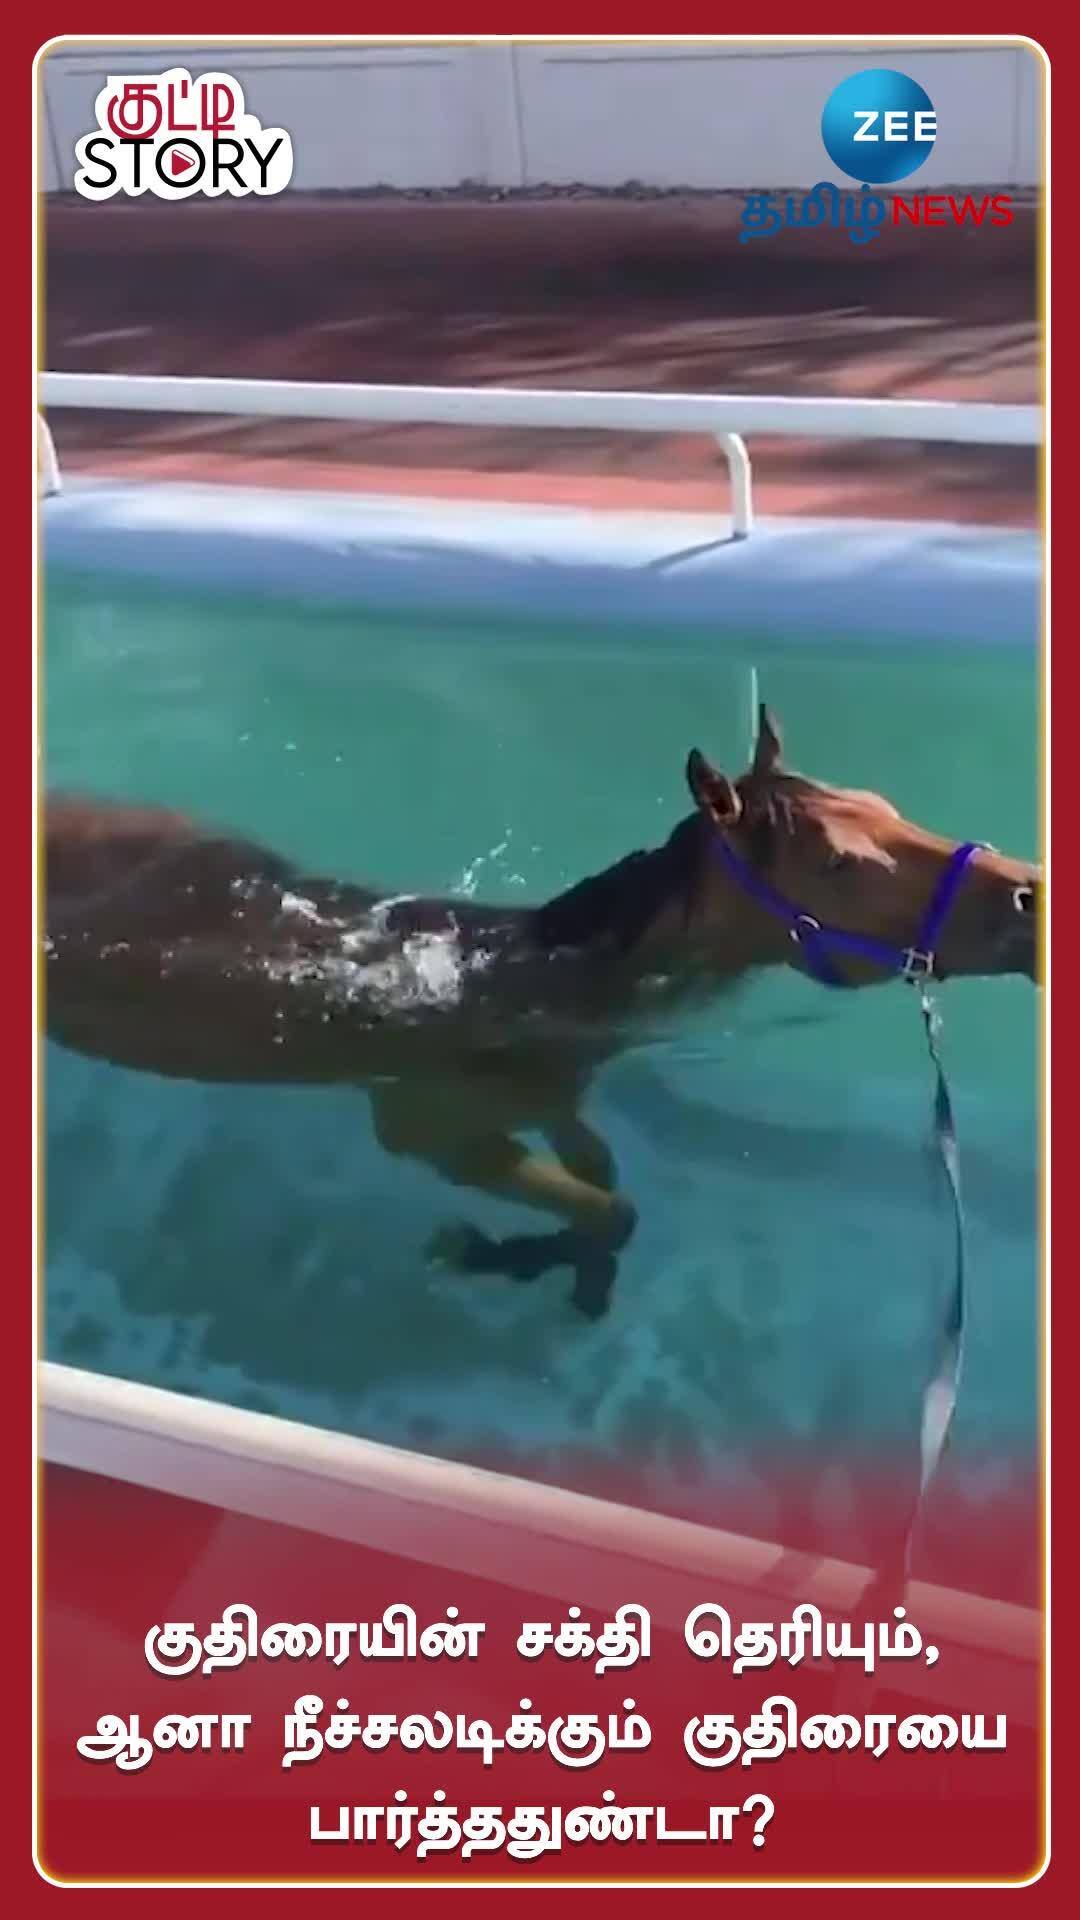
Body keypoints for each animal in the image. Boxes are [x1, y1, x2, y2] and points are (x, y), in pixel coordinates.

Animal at [43, 706, 1039, 1318]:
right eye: (837, 861)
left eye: (885, 803)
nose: (1029, 893)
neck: (527, 979)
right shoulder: (427, 1127)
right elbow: (609, 1206)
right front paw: (490, 1253)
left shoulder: (553, 1102)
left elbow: (606, 1186)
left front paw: (560, 1268)